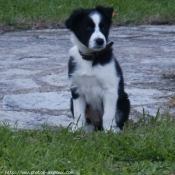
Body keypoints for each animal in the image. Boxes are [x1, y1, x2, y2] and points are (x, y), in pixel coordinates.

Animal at [65, 5, 130, 133]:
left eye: (103, 27)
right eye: (88, 27)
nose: (100, 41)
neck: (90, 58)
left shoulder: (110, 90)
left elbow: (108, 115)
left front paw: (109, 131)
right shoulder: (76, 90)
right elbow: (79, 114)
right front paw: (77, 129)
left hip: (124, 100)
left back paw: (115, 129)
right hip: (71, 101)